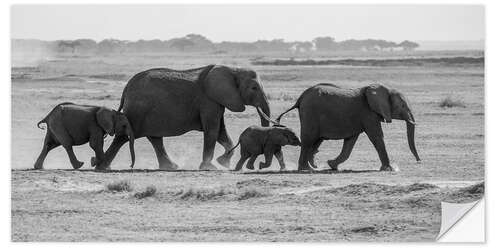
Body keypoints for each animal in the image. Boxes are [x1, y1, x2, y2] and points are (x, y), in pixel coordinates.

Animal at [94, 64, 274, 171]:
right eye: (254, 88)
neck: (233, 69)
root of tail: (126, 89)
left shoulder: (216, 101)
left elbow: (221, 132)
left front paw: (224, 163)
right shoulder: (208, 100)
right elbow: (212, 130)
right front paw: (211, 167)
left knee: (155, 139)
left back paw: (171, 167)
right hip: (138, 112)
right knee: (124, 137)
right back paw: (102, 168)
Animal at [278, 83, 422, 172]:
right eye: (403, 106)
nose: (419, 161)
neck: (385, 89)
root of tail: (300, 98)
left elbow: (350, 142)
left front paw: (332, 165)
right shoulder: (368, 113)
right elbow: (376, 136)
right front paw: (389, 169)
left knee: (314, 141)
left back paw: (312, 167)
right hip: (310, 114)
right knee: (308, 140)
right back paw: (306, 169)